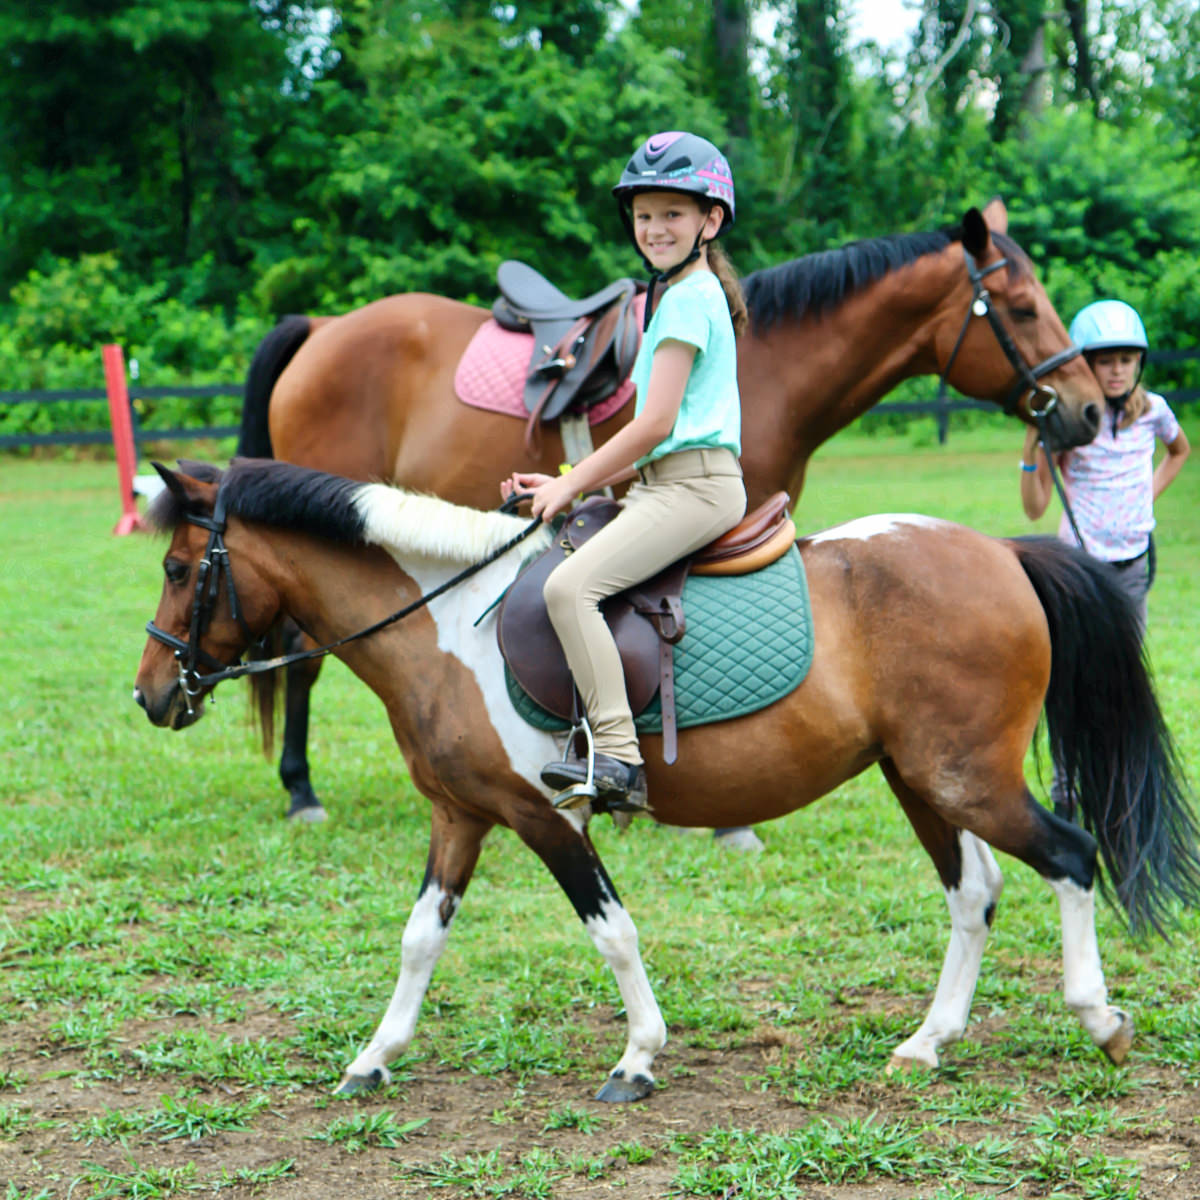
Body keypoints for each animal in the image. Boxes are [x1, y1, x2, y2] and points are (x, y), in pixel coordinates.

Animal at [136, 458, 1195, 1104]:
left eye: (182, 568)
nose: (151, 696)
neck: (448, 626)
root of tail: (1001, 554)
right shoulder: (461, 817)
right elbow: (418, 941)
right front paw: (372, 1060)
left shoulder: (543, 818)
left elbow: (612, 931)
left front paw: (639, 1058)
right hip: (921, 779)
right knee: (975, 892)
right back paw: (928, 1042)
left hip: (964, 778)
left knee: (1071, 856)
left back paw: (1100, 1020)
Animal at [234, 201, 1104, 820]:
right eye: (1022, 308)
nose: (1092, 411)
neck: (765, 363)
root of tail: (324, 326)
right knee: (302, 651)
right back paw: (301, 790)